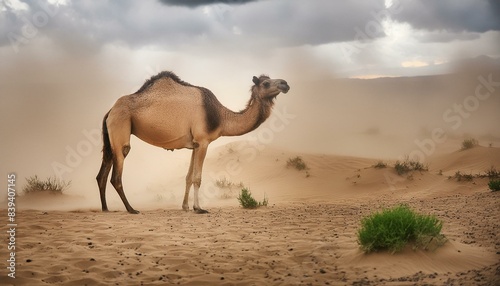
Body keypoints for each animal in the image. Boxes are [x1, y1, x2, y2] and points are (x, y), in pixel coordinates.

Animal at [95, 71, 290, 213]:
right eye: (266, 83)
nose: (285, 83)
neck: (220, 116)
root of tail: (110, 110)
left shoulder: (195, 144)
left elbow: (188, 177)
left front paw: (185, 206)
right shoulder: (203, 142)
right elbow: (197, 178)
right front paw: (199, 208)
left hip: (111, 135)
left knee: (102, 172)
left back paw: (105, 208)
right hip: (121, 125)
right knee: (117, 173)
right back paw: (131, 209)